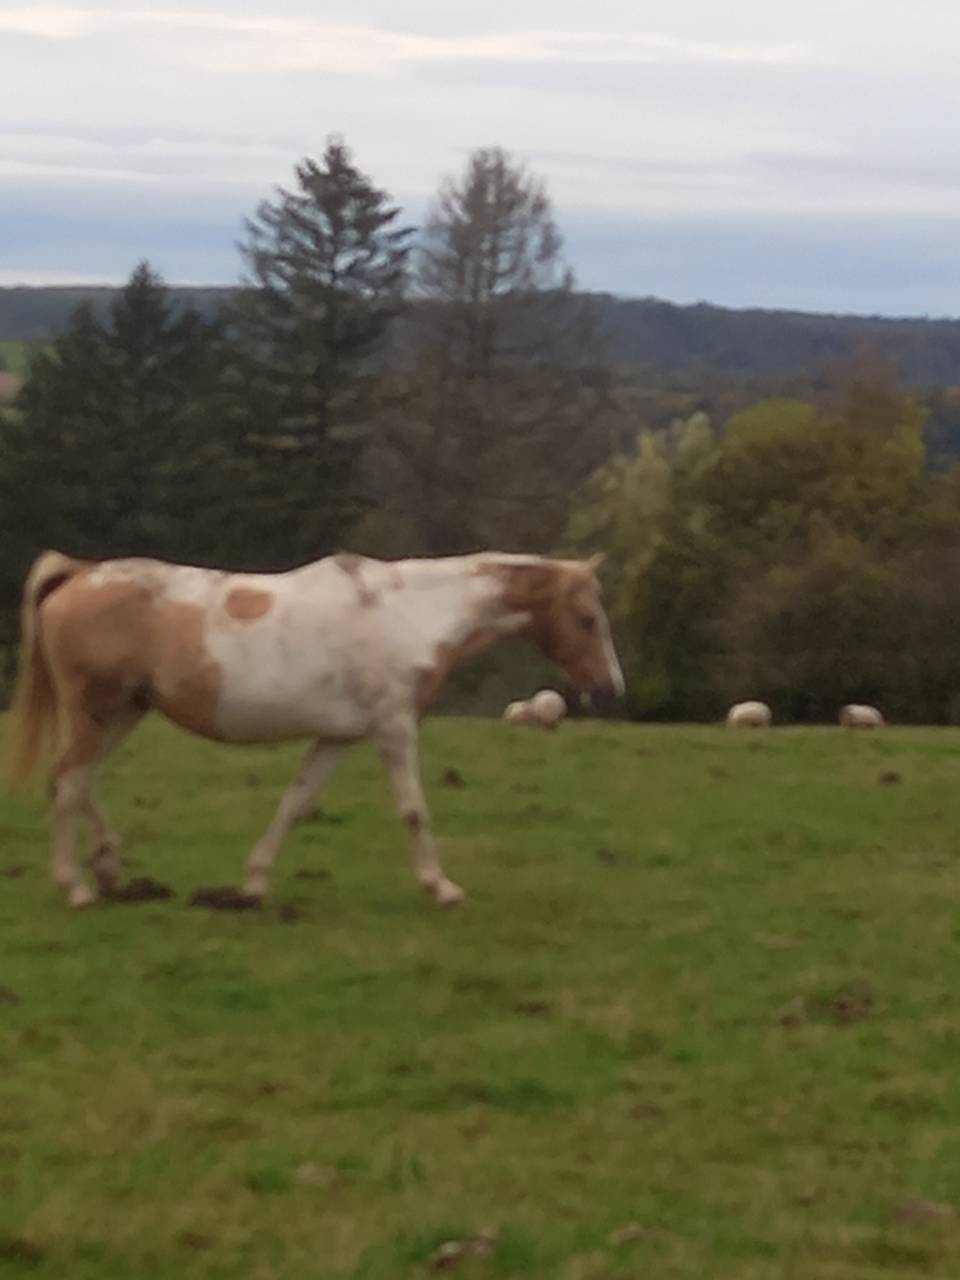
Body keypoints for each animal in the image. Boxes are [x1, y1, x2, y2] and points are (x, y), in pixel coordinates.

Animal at [5, 548, 623, 909]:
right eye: (587, 618)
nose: (612, 689)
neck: (409, 614)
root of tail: (79, 576)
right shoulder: (394, 728)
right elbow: (413, 810)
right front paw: (441, 887)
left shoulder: (338, 738)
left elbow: (295, 804)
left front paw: (254, 883)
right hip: (98, 712)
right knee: (69, 784)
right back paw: (77, 886)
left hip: (123, 713)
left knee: (74, 783)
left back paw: (108, 869)